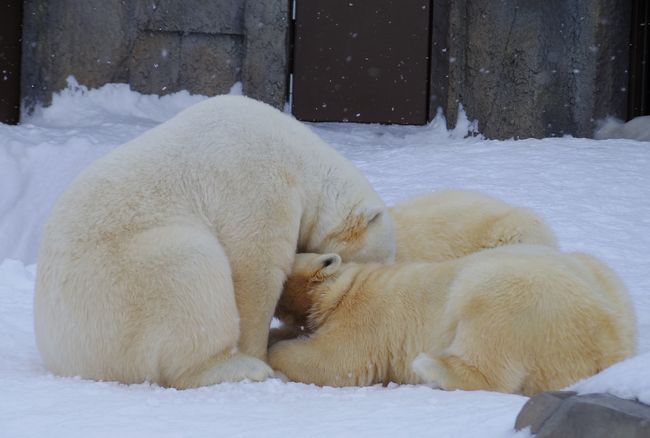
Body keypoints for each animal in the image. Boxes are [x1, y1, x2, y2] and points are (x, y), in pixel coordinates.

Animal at [35, 94, 394, 388]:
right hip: (121, 284)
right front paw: (261, 354)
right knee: (192, 273)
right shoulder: (258, 184)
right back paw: (244, 368)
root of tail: (60, 354)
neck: (298, 158)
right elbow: (254, 269)